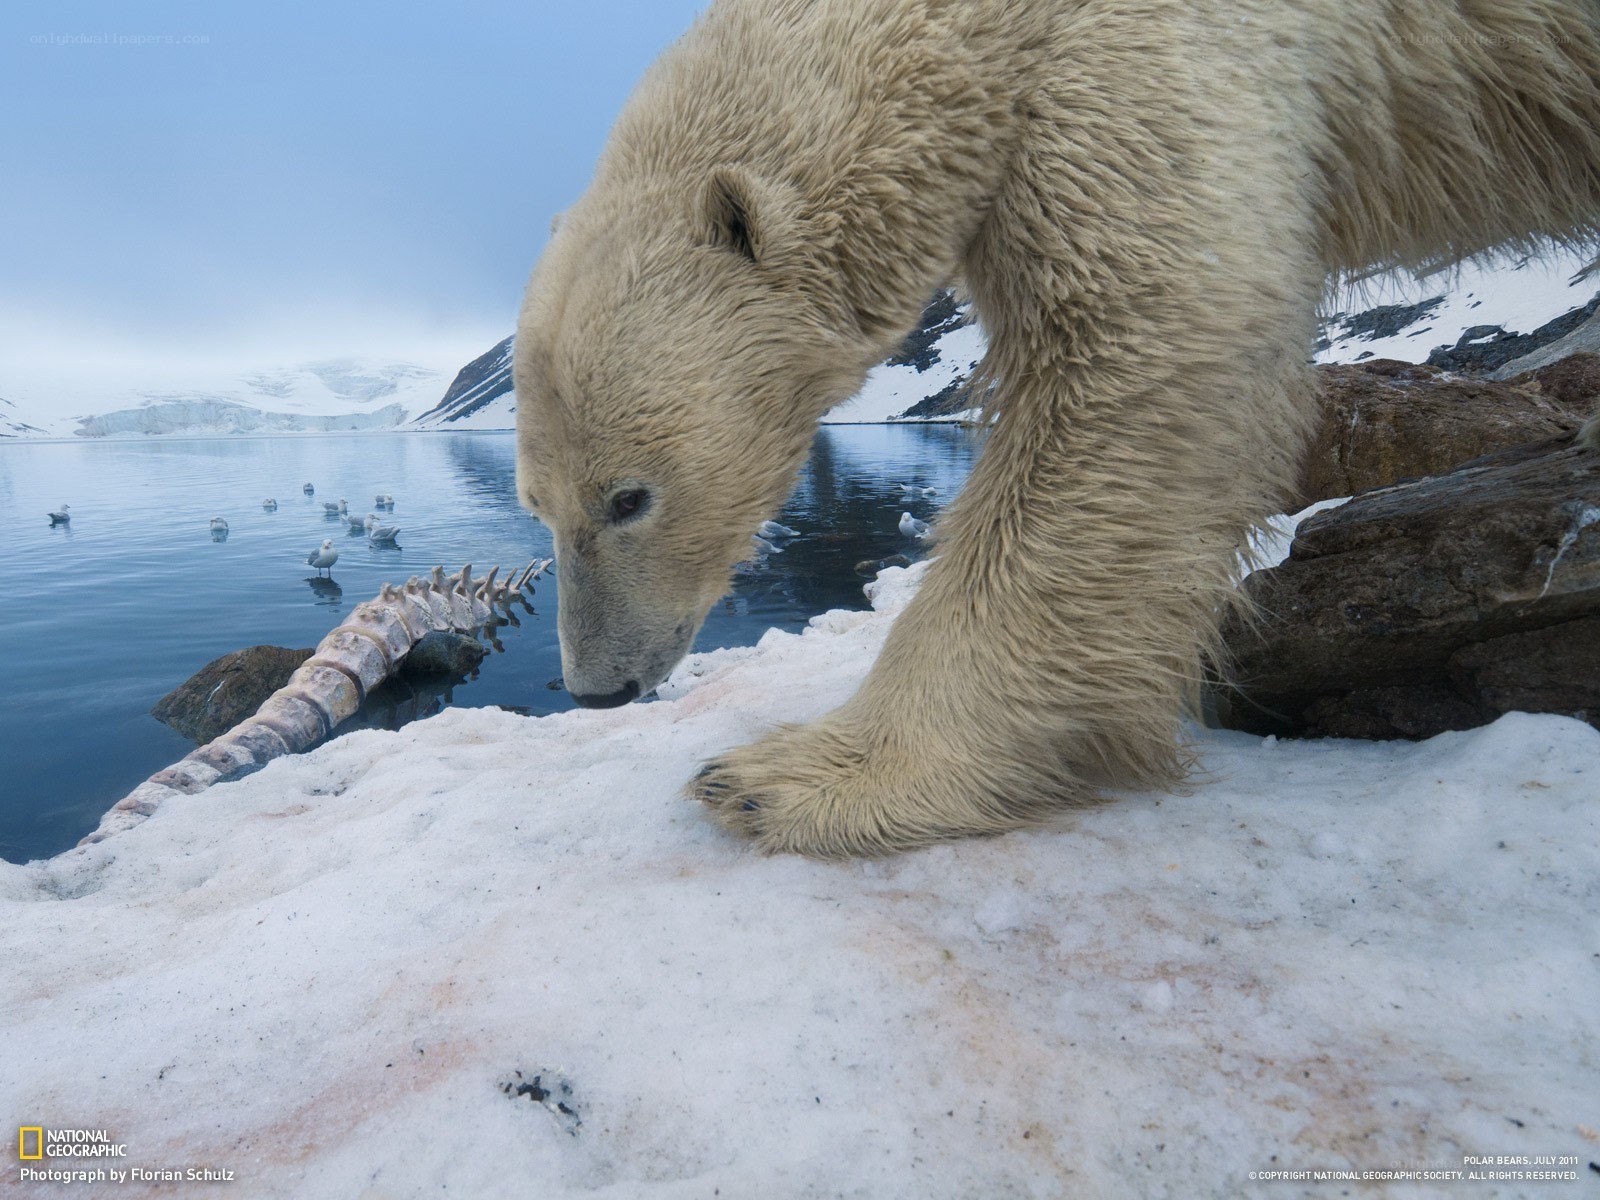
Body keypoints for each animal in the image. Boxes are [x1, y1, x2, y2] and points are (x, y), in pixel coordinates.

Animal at [513, 0, 1600, 856]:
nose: (597, 689)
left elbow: (1141, 345)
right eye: (538, 505)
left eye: (629, 497)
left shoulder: (1140, 55)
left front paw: (793, 778)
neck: (972, 22)